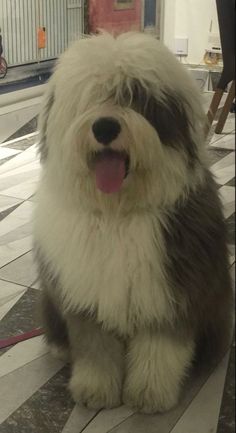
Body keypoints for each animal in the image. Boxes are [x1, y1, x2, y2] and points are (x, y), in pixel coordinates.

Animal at [33, 33, 234, 412]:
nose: (105, 127)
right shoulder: (88, 294)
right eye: (92, 97)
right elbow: (95, 348)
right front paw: (95, 391)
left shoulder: (170, 291)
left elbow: (160, 347)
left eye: (137, 97)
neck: (119, 213)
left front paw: (150, 394)